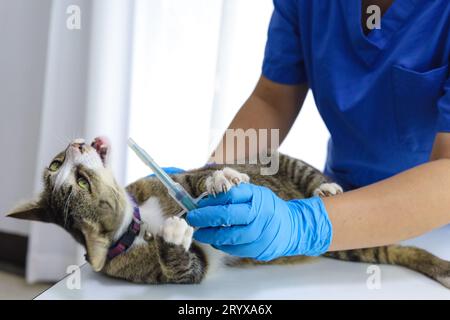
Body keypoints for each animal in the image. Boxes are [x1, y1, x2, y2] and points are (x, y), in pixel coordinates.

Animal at [6, 136, 450, 286]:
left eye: (56, 164)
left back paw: (324, 190)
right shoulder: (169, 272)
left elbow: (197, 178)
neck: (136, 221)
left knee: (312, 180)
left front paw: (221, 181)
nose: (75, 145)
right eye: (79, 180)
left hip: (287, 163)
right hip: (349, 244)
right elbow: (185, 268)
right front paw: (173, 235)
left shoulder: (172, 182)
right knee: (389, 250)